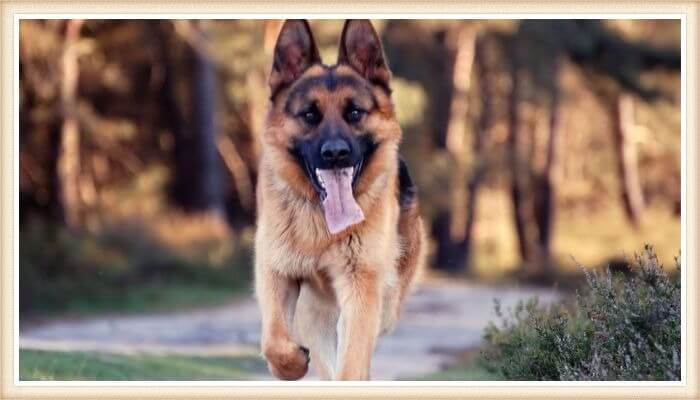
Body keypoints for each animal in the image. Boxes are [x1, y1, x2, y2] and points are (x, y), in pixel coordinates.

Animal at [254, 19, 424, 382]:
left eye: (355, 113)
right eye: (309, 115)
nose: (335, 154)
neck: (321, 227)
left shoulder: (361, 291)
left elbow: (353, 363)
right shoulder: (275, 272)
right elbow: (273, 341)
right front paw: (291, 363)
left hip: (382, 304)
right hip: (315, 316)